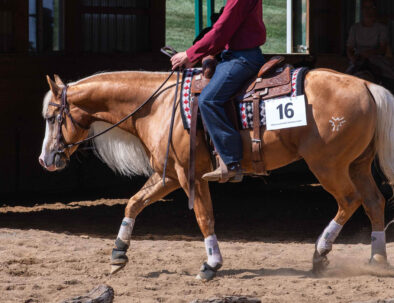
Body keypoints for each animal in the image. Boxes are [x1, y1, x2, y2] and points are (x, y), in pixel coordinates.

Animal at [39, 70, 394, 282]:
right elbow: (134, 203)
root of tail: (366, 85)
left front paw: (211, 265)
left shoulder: (190, 177)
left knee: (349, 200)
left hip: (327, 165)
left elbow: (204, 217)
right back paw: (377, 257)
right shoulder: (168, 176)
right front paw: (118, 253)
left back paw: (320, 253)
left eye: (52, 117)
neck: (158, 106)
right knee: (374, 202)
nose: (45, 160)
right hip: (357, 165)